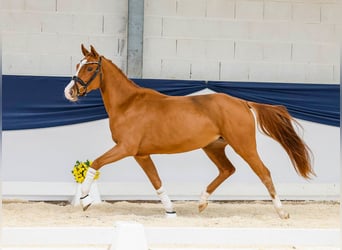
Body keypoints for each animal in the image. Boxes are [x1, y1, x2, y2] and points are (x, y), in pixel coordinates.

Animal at [65, 45, 314, 219]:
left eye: (89, 67)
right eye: (77, 64)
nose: (70, 92)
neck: (128, 104)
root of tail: (243, 103)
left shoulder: (126, 148)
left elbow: (95, 163)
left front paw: (85, 199)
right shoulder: (141, 154)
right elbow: (157, 182)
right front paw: (170, 211)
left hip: (244, 146)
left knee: (264, 172)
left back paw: (282, 212)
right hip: (213, 147)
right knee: (227, 169)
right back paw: (202, 203)